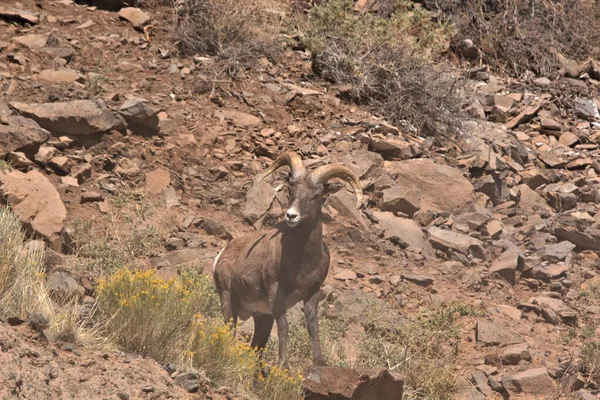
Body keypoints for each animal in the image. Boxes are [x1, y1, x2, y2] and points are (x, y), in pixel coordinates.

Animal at [212, 152, 360, 368]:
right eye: (291, 190)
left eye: (316, 195)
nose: (291, 216)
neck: (302, 263)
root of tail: (221, 254)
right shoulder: (276, 292)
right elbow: (284, 327)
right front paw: (284, 365)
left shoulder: (312, 292)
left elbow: (312, 327)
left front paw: (319, 362)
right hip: (228, 302)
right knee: (229, 331)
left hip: (262, 318)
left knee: (257, 346)